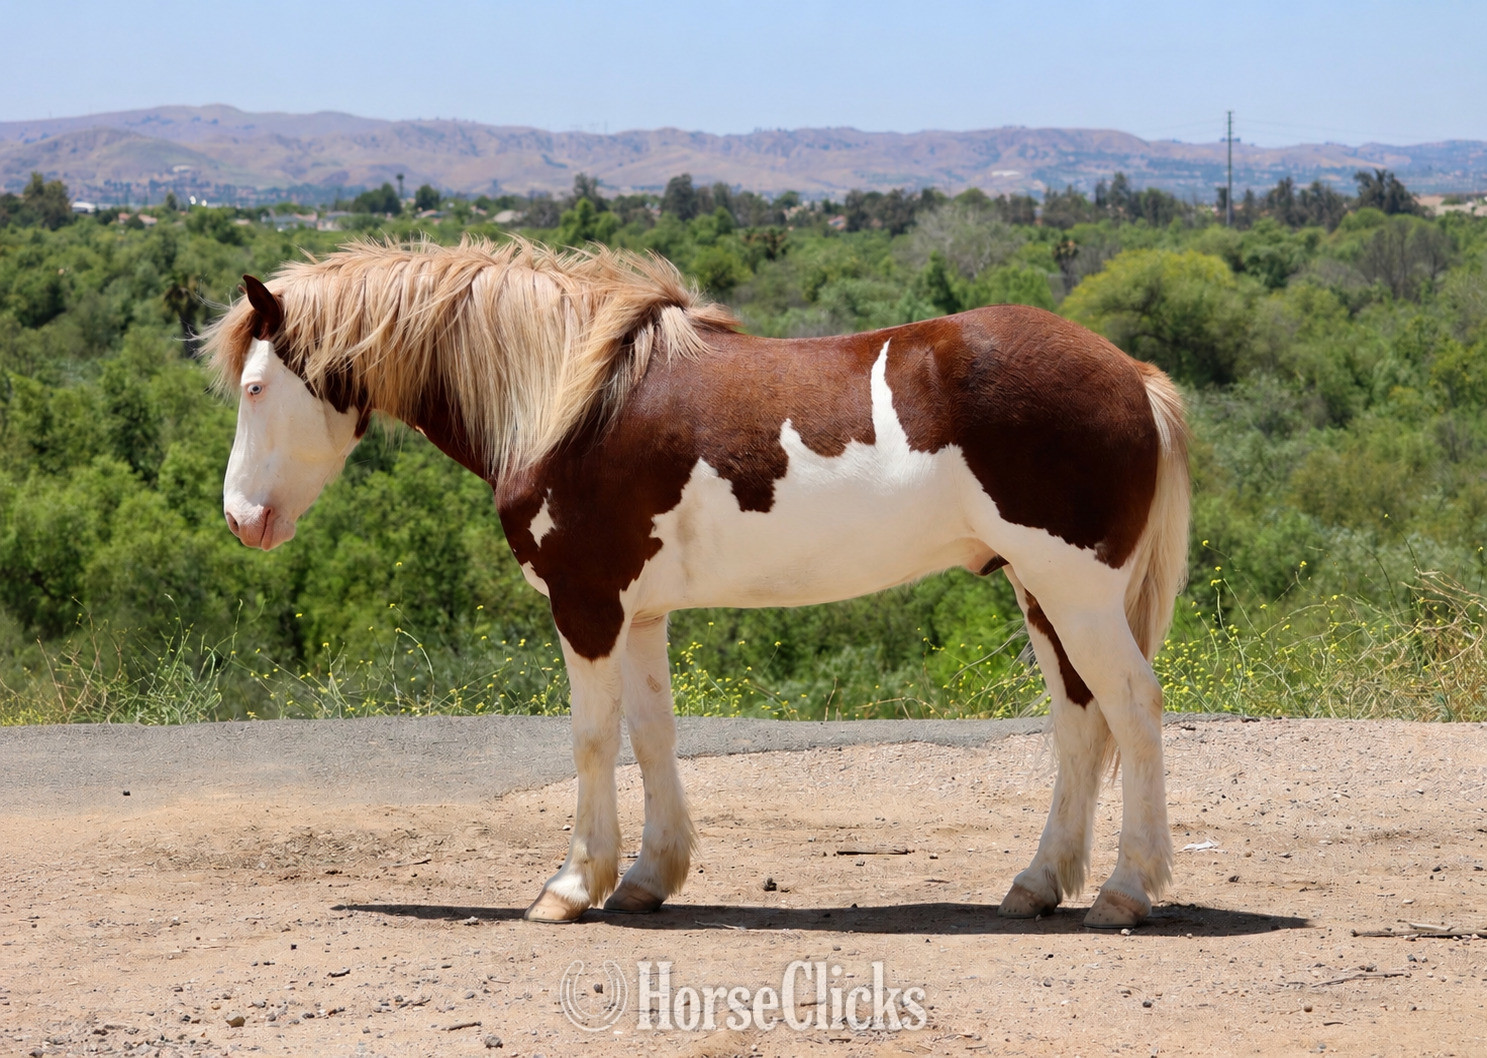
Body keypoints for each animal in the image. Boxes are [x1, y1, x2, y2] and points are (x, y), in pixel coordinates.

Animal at [204, 237, 1190, 928]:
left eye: (254, 388)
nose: (241, 520)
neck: (566, 401)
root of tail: (1131, 374)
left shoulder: (586, 607)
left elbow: (592, 740)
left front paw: (572, 885)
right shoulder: (639, 615)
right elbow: (652, 735)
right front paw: (648, 877)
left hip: (1075, 592)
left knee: (1132, 708)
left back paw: (1125, 891)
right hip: (1038, 591)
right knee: (1079, 722)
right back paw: (1037, 884)